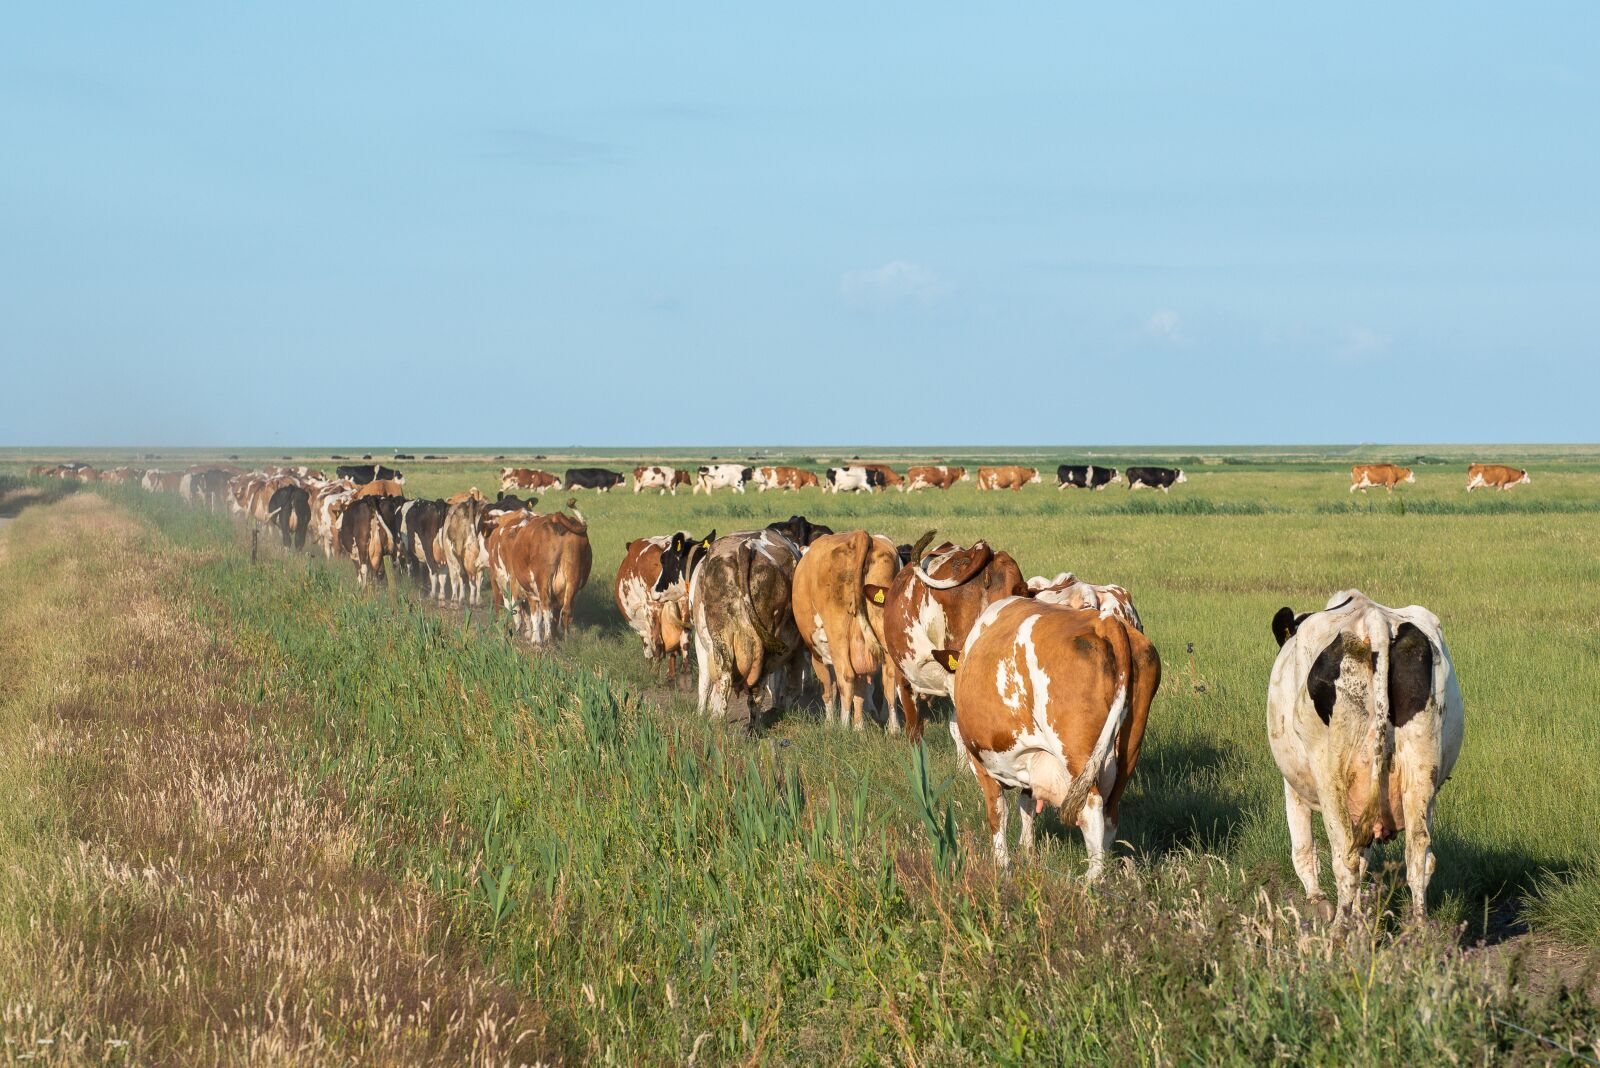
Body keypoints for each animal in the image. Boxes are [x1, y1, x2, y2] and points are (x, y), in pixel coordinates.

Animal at [484, 501, 592, 644]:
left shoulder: (514, 585)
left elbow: (529, 613)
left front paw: (533, 639)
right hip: (572, 579)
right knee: (566, 610)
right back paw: (565, 639)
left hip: (542, 580)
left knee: (544, 608)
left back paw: (547, 638)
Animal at [791, 530, 904, 731]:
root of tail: (860, 535)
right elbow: (860, 691)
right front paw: (859, 726)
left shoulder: (817, 654)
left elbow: (829, 689)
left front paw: (830, 723)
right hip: (881, 630)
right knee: (890, 678)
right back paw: (894, 728)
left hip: (838, 635)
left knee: (846, 677)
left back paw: (843, 727)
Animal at [943, 597, 1160, 874]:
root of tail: (1105, 622)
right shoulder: (1030, 759)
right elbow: (1026, 808)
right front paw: (1027, 853)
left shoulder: (979, 761)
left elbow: (997, 812)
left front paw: (1002, 866)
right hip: (1129, 747)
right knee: (1111, 812)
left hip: (1075, 750)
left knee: (1091, 808)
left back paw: (1092, 877)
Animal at [1268, 591, 1463, 924]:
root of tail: (1374, 618)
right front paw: (1360, 914)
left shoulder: (1292, 784)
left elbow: (1303, 847)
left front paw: (1317, 902)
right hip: (1421, 769)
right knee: (1418, 853)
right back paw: (1419, 926)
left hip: (1331, 774)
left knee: (1344, 857)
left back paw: (1340, 927)